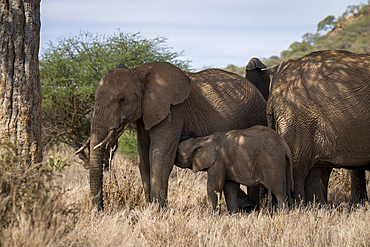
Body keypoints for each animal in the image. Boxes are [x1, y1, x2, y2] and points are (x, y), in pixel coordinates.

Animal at [81, 61, 266, 208]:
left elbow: (160, 156)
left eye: (121, 100)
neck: (139, 71)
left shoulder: (173, 112)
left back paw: (255, 207)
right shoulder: (145, 114)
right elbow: (143, 157)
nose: (99, 211)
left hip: (256, 115)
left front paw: (157, 211)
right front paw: (150, 208)